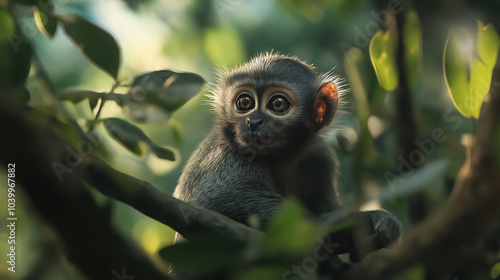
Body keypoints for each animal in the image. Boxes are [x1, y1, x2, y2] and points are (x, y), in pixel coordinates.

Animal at [172, 53, 402, 274]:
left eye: (278, 104)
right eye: (245, 102)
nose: (254, 122)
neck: (280, 159)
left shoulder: (320, 158)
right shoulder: (228, 153)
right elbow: (214, 200)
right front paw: (341, 225)